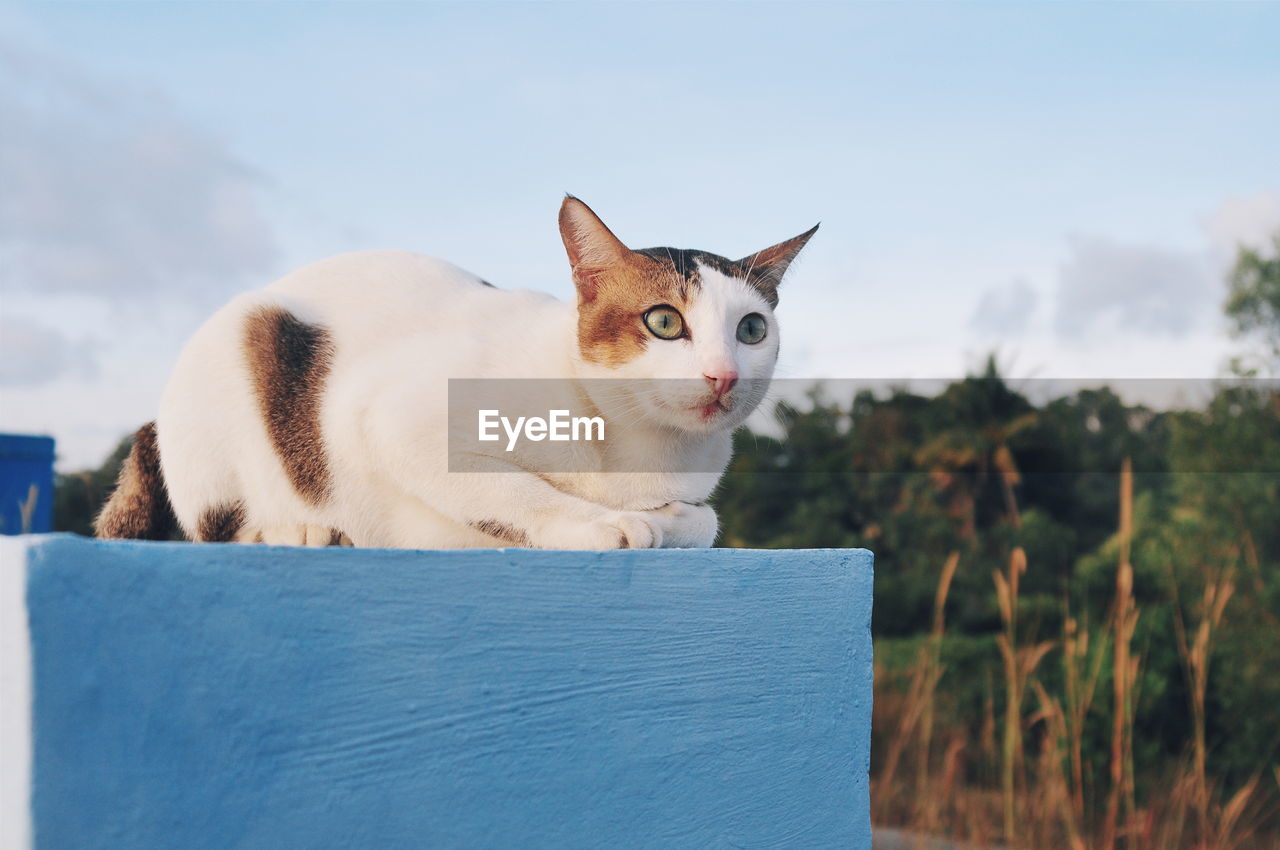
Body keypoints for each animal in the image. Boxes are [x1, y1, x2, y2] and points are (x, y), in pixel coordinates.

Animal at [99, 195, 819, 547]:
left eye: (752, 330)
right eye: (664, 322)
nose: (724, 376)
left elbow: (705, 521)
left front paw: (666, 522)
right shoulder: (391, 417)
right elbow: (508, 491)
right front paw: (599, 525)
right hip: (241, 356)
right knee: (212, 531)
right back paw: (296, 530)